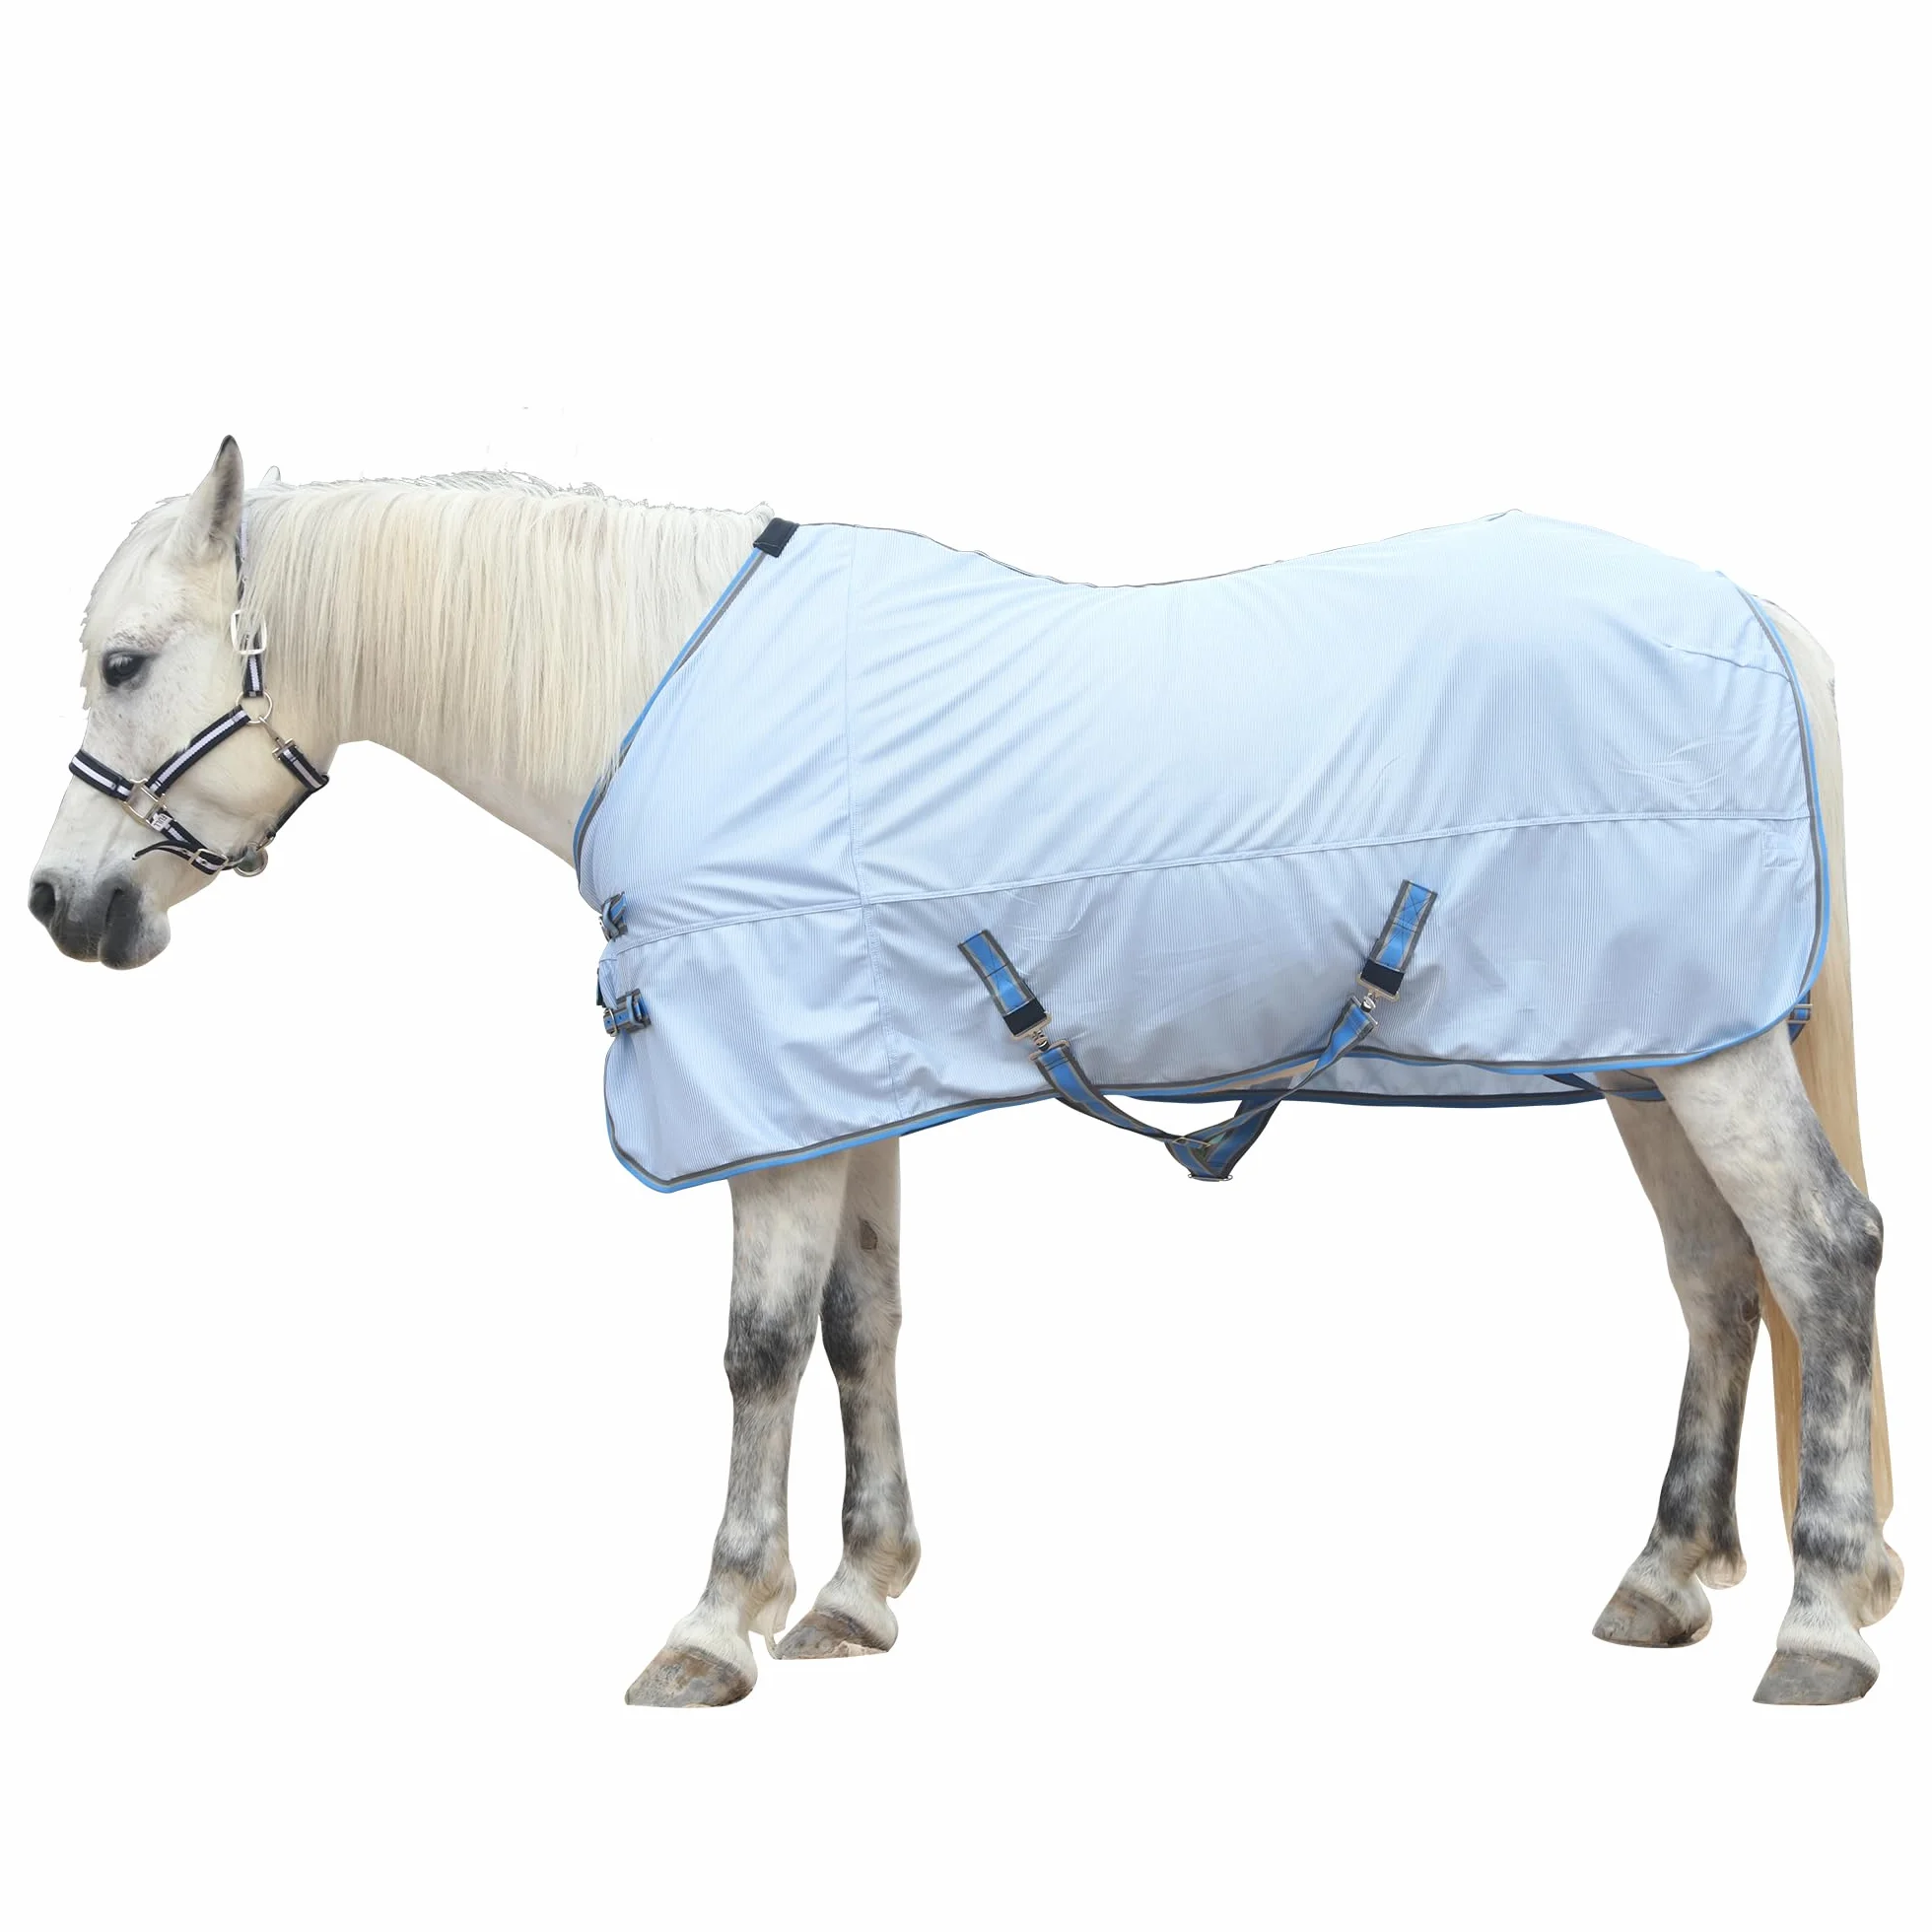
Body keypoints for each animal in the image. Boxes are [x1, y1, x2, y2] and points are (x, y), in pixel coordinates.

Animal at [28, 439, 1901, 1706]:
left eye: (123, 662)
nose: (61, 907)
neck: (654, 691)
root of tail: (1747, 610)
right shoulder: (842, 1078)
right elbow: (861, 1325)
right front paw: (855, 1598)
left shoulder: (768, 1092)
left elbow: (758, 1348)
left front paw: (714, 1624)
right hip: (1658, 1051)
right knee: (1720, 1278)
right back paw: (1663, 1581)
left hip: (1713, 1055)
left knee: (1822, 1256)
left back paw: (1817, 1620)